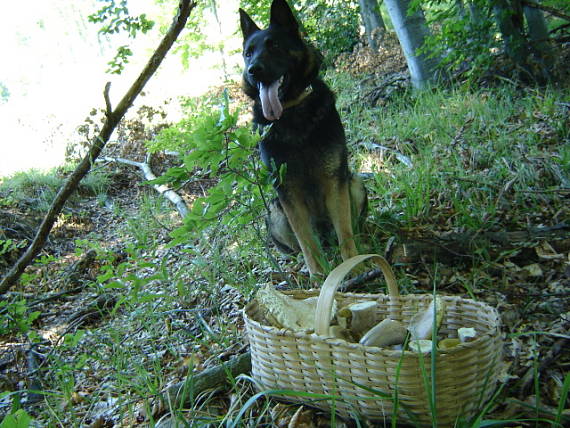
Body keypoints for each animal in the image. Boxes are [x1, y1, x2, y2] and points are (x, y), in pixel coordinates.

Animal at [239, 0, 366, 274]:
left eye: (274, 45)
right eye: (248, 53)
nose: (253, 70)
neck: (291, 111)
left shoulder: (335, 181)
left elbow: (345, 231)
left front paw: (353, 268)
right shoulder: (287, 192)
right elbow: (307, 242)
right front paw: (319, 276)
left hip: (354, 183)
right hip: (275, 212)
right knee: (298, 247)